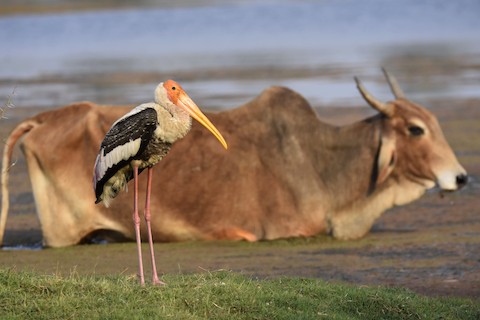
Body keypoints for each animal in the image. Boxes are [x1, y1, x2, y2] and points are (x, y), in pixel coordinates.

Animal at [0, 72, 464, 248]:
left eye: (434, 122)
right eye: (415, 129)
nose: (460, 178)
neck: (322, 163)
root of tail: (43, 118)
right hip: (65, 230)